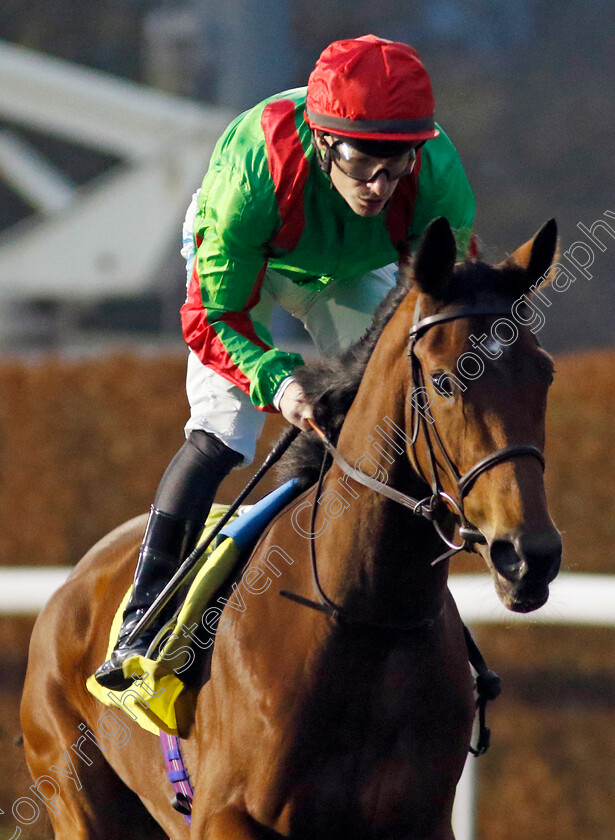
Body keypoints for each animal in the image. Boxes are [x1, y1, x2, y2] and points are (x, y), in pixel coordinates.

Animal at [21, 218, 564, 840]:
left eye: (545, 374)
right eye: (447, 381)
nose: (529, 555)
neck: (366, 616)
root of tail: (73, 583)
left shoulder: (422, 821)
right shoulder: (226, 814)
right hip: (76, 791)